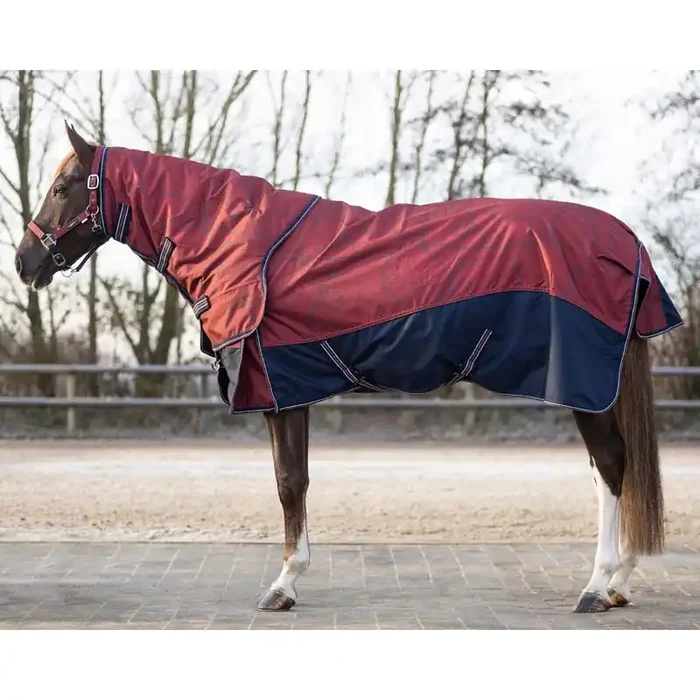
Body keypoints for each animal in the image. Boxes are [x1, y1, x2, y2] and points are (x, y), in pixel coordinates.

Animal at [15, 123, 683, 614]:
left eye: (67, 184)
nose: (24, 263)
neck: (238, 241)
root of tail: (626, 241)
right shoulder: (290, 389)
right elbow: (297, 481)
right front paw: (292, 578)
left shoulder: (279, 389)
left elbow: (288, 484)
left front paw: (283, 585)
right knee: (609, 472)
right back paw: (616, 583)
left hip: (581, 383)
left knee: (611, 465)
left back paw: (598, 586)